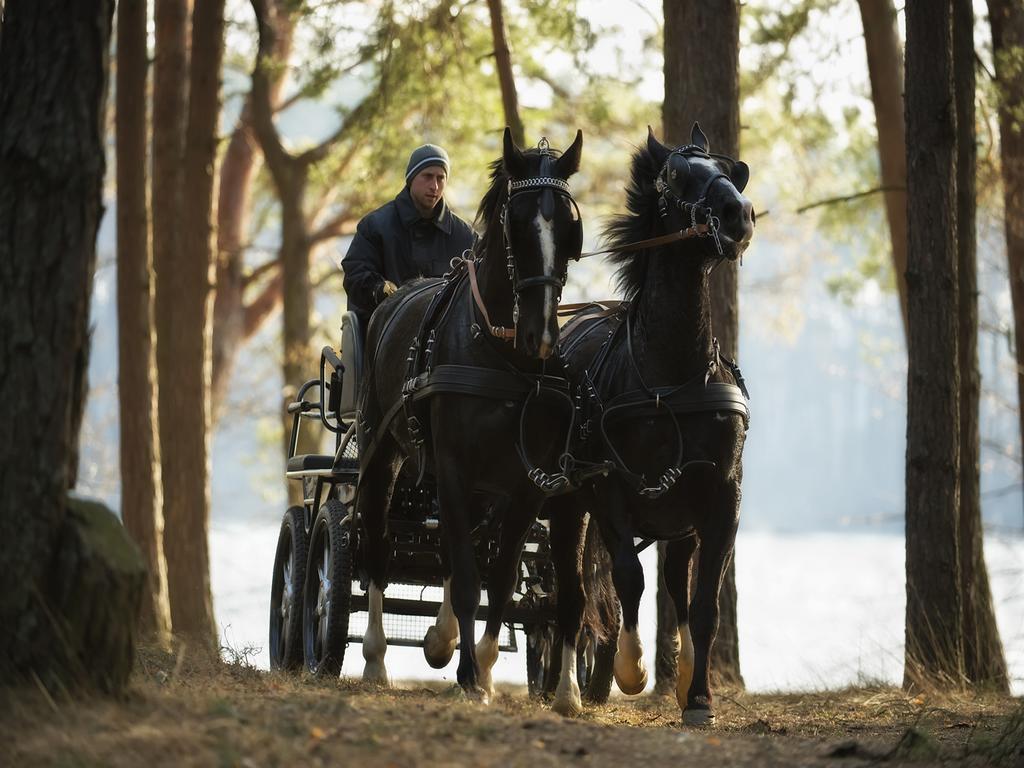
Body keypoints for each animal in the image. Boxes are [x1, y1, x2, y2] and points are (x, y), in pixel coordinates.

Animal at [358, 128, 585, 704]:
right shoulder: (456, 470)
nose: (540, 334)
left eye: (568, 226)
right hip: (382, 453)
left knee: (450, 550)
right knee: (377, 546)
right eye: (515, 222)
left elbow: (497, 579)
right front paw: (467, 675)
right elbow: (465, 577)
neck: (499, 352)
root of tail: (397, 294)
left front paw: (478, 665)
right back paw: (376, 659)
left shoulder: (523, 485)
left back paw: (442, 637)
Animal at [548, 123, 757, 724]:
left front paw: (699, 697)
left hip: (678, 522)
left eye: (735, 172)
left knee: (676, 586)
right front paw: (631, 667)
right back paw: (567, 691)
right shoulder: (612, 491)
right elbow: (626, 579)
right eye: (677, 176)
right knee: (573, 593)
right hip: (569, 506)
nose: (739, 216)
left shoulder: (721, 498)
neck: (671, 380)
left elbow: (703, 603)